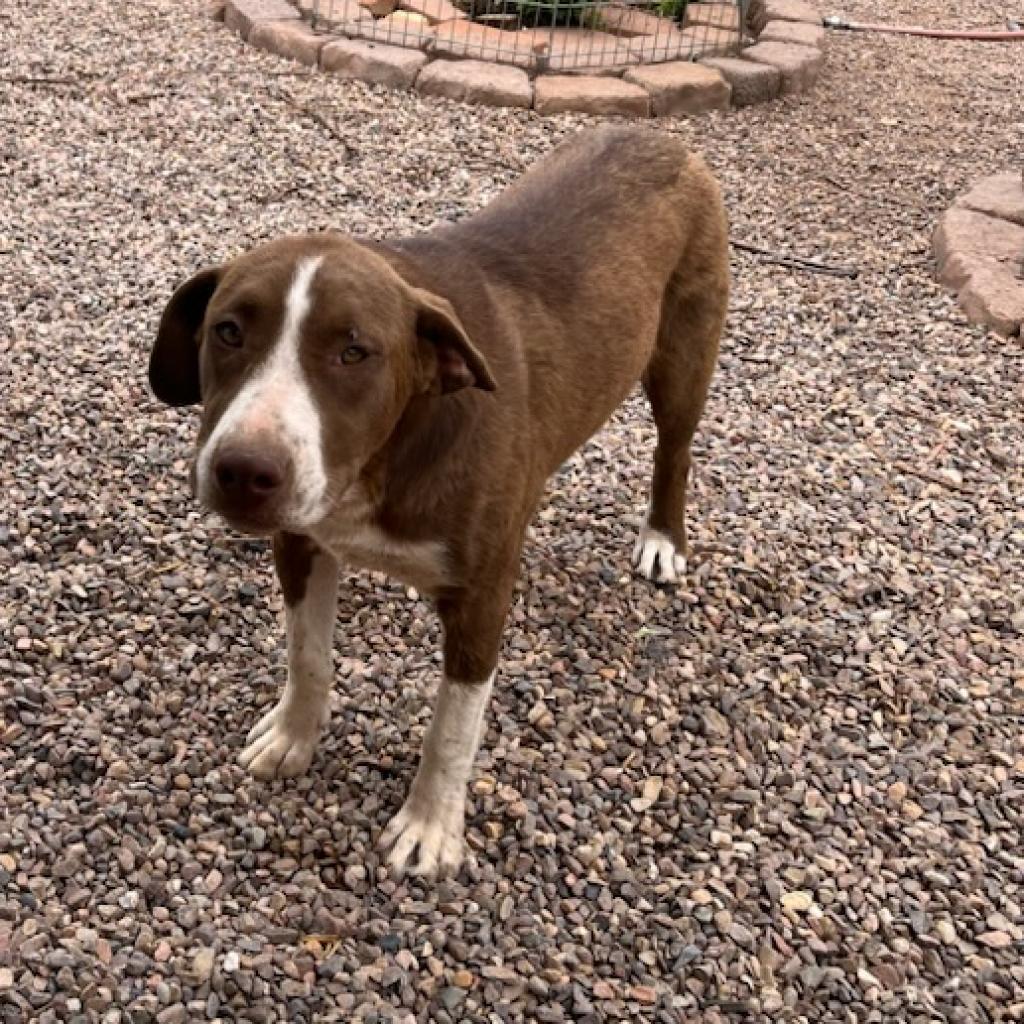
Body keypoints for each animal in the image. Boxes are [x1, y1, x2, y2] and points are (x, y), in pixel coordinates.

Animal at [149, 125, 729, 880]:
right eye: (227, 330)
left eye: (355, 352)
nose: (244, 470)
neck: (385, 460)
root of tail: (655, 134)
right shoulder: (300, 541)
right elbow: (308, 656)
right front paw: (294, 737)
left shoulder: (481, 595)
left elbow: (451, 727)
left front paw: (429, 826)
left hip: (685, 353)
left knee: (675, 450)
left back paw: (662, 538)